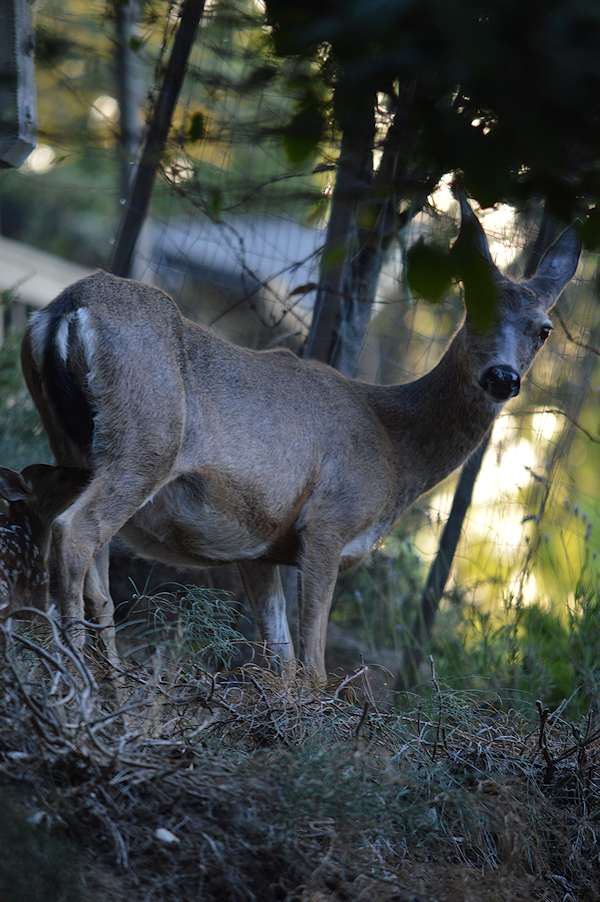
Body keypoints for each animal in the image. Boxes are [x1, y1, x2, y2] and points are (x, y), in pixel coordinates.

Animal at [19, 194, 580, 681]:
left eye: (543, 329)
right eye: (474, 307)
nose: (503, 377)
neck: (397, 448)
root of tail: (67, 307)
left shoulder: (260, 546)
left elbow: (283, 664)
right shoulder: (329, 521)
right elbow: (313, 669)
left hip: (74, 441)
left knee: (70, 537)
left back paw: (96, 674)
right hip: (146, 439)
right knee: (77, 532)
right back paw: (80, 678)